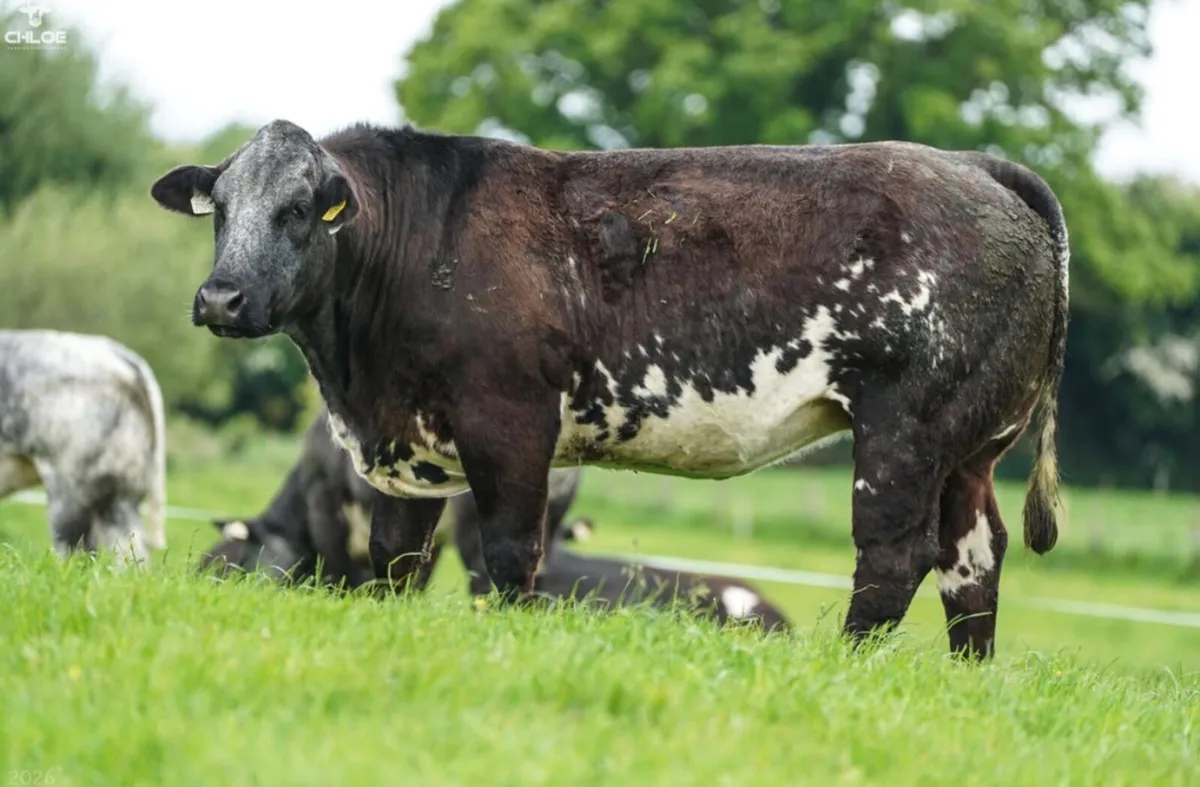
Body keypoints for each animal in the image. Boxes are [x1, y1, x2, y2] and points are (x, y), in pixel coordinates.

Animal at [151, 118, 1069, 659]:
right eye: (219, 207)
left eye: (301, 208)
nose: (220, 298)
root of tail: (974, 164)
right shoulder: (409, 449)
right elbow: (397, 558)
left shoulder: (510, 427)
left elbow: (509, 554)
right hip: (969, 446)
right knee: (972, 555)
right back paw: (966, 676)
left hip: (904, 430)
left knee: (893, 554)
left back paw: (845, 668)